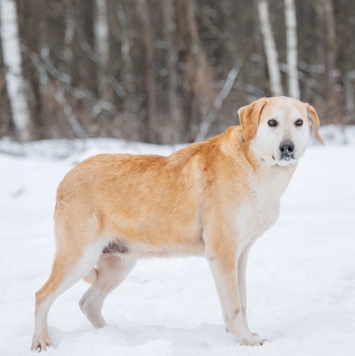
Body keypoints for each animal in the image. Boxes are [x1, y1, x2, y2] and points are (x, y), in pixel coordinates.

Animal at [32, 95, 324, 350]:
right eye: (272, 122)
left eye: (299, 122)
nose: (287, 148)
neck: (254, 165)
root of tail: (66, 178)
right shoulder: (223, 254)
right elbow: (234, 306)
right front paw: (246, 340)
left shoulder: (241, 255)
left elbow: (242, 301)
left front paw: (247, 335)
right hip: (79, 257)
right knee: (42, 296)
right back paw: (41, 342)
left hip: (119, 263)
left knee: (88, 303)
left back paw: (112, 337)